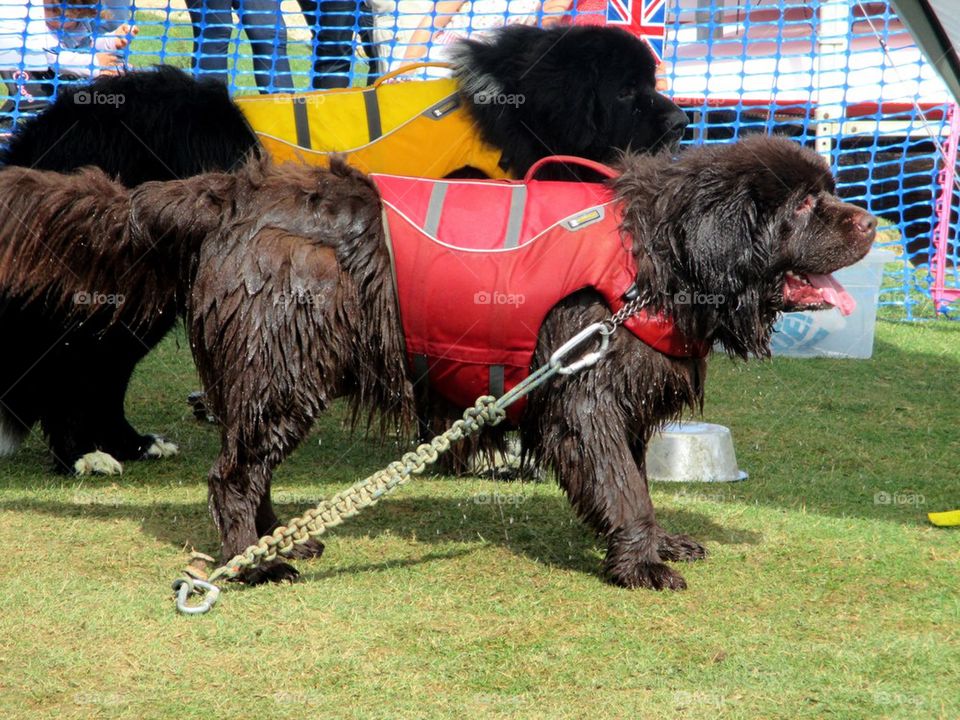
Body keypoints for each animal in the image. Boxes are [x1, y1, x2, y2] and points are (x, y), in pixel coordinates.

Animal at [0, 28, 688, 476]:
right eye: (626, 92)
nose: (683, 123)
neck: (521, 113)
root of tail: (49, 130)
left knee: (99, 369)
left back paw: (127, 445)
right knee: (75, 364)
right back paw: (86, 455)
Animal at [0, 136, 876, 592]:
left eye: (829, 191)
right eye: (804, 205)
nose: (871, 222)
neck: (661, 255)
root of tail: (229, 195)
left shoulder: (620, 394)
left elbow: (634, 475)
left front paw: (663, 543)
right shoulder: (583, 388)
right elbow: (618, 480)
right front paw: (642, 565)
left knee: (249, 465)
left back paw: (285, 543)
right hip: (285, 359)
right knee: (233, 474)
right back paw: (257, 566)